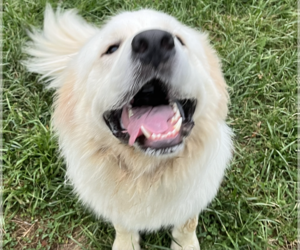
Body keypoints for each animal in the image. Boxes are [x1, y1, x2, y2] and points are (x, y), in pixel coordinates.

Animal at [24, 4, 233, 249]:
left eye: (180, 40)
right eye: (111, 48)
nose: (154, 42)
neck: (146, 174)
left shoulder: (194, 196)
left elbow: (186, 225)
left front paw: (186, 245)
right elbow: (123, 225)